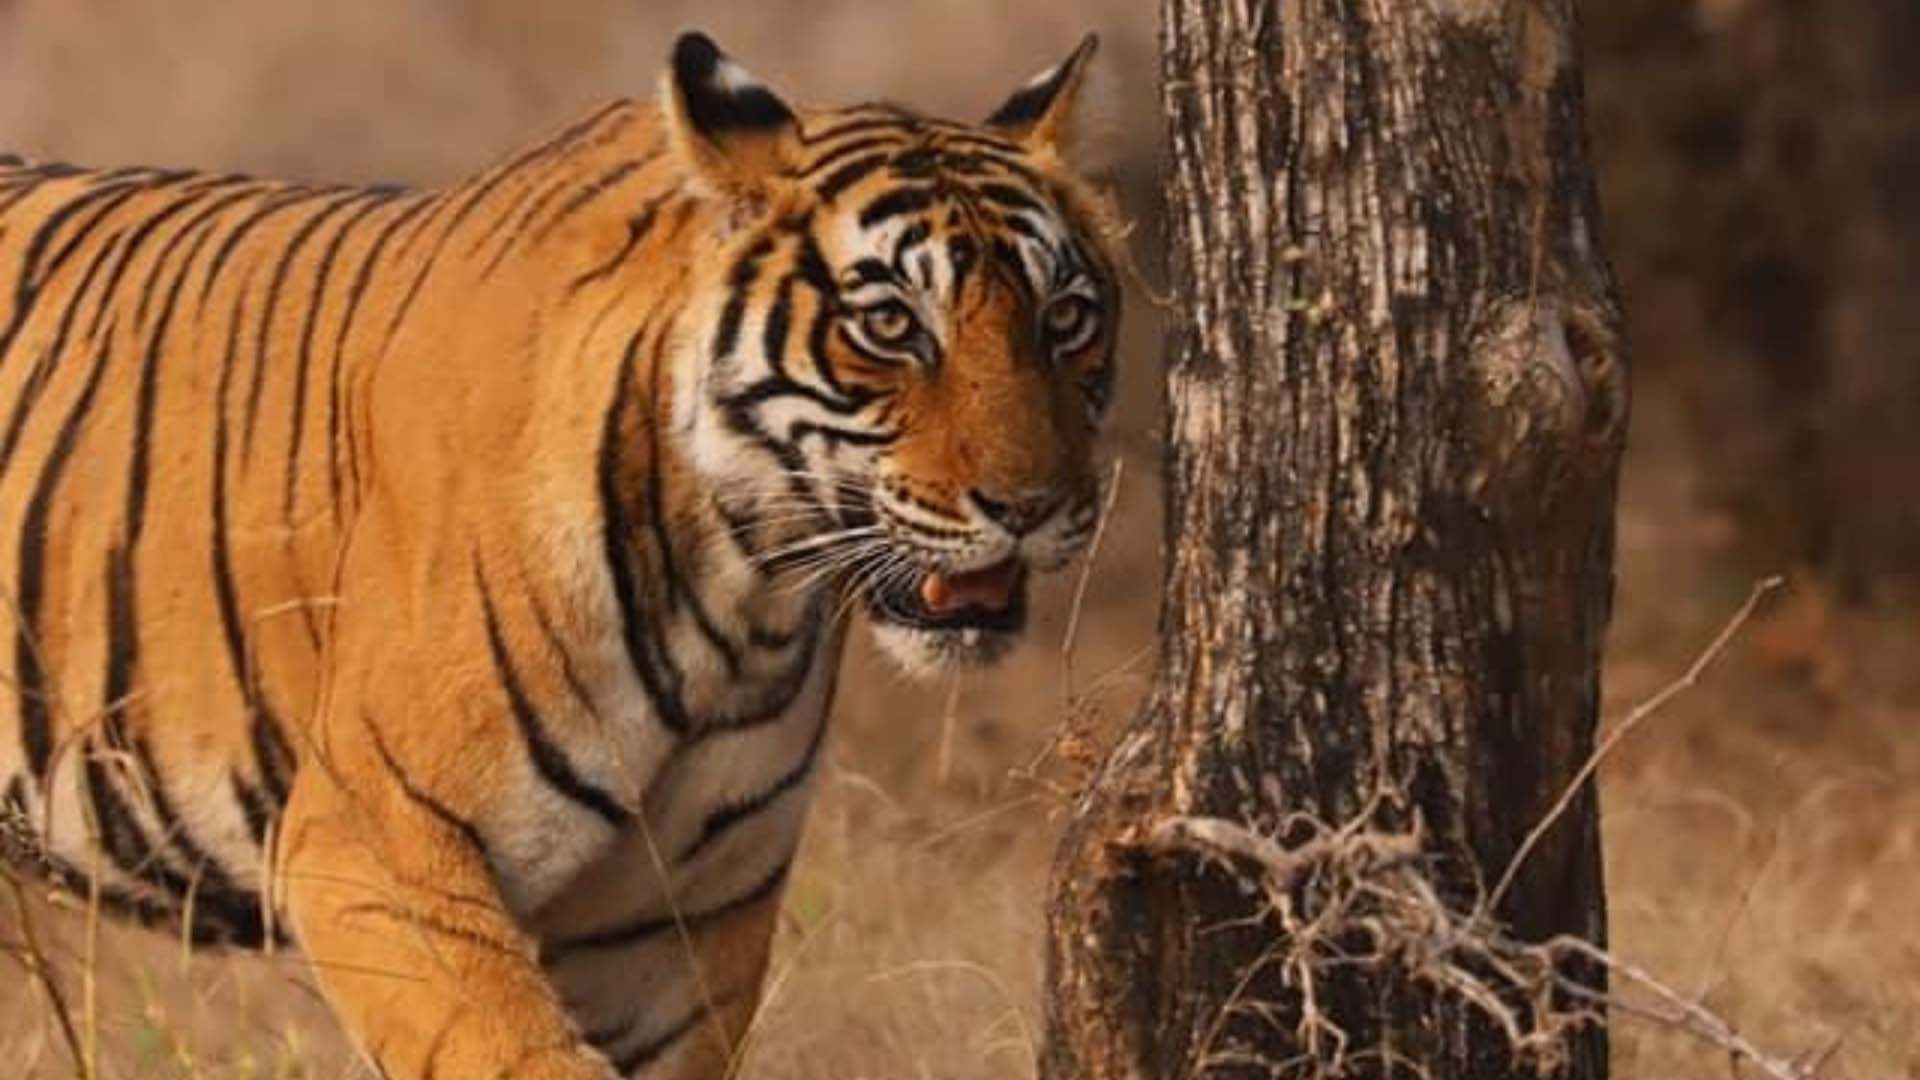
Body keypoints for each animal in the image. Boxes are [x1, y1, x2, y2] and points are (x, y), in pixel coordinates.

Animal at [0, 28, 1121, 1080]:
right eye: (889, 323)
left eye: (1065, 319)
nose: (1036, 506)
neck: (738, 602)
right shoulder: (371, 841)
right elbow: (517, 1052)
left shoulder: (674, 925)